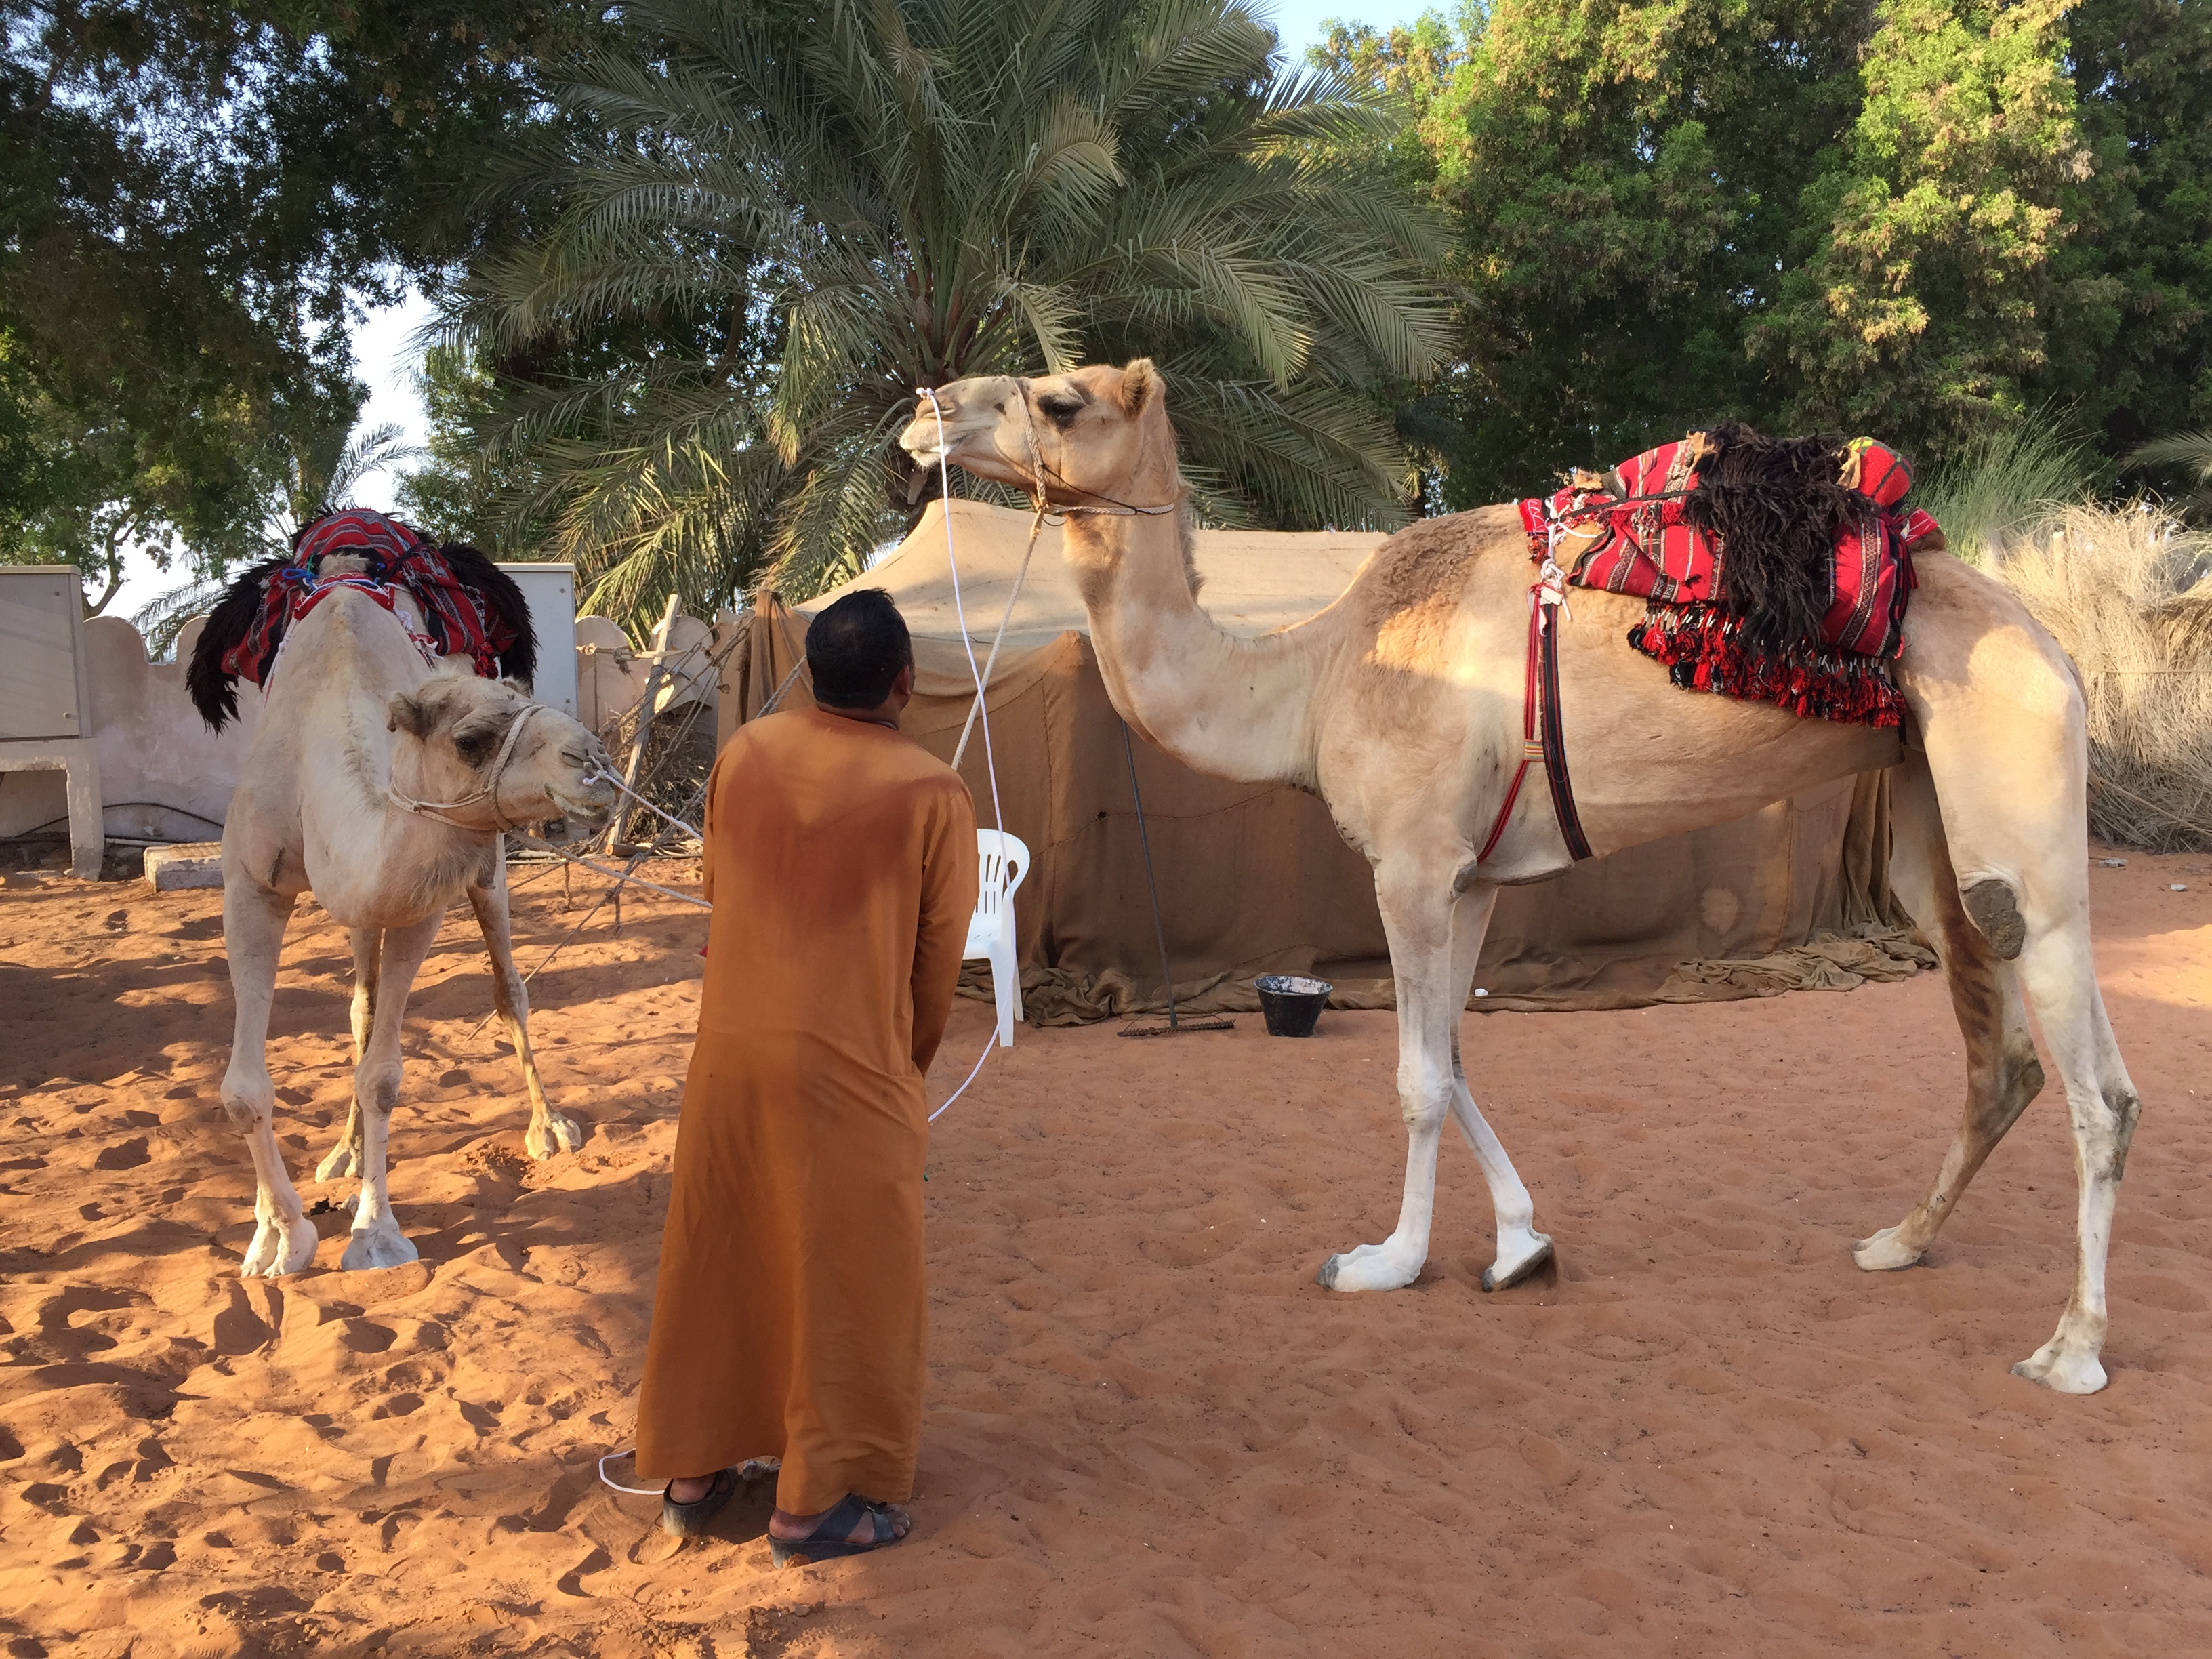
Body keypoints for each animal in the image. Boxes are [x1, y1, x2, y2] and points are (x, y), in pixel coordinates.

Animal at [188, 545, 615, 1276]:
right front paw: (278, 1238)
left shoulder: (423, 900)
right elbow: (244, 1088)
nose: (592, 763)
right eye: (471, 740)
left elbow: (384, 1077)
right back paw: (344, 1153)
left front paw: (374, 1233)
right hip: (363, 908)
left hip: (486, 868)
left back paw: (549, 1127)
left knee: (510, 990)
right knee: (359, 1006)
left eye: (529, 703)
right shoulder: (249, 885)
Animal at [899, 361, 2142, 1395]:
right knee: (1998, 1049)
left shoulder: (1408, 863)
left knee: (2100, 1087)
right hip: (1930, 815)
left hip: (2020, 803)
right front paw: (1518, 1244)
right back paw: (1898, 1241)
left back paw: (2072, 1348)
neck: (1310, 679)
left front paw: (1386, 1260)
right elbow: (1452, 1055)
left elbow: (1414, 1076)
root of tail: (2059, 650)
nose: (924, 413)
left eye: (1059, 400)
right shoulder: (1472, 874)